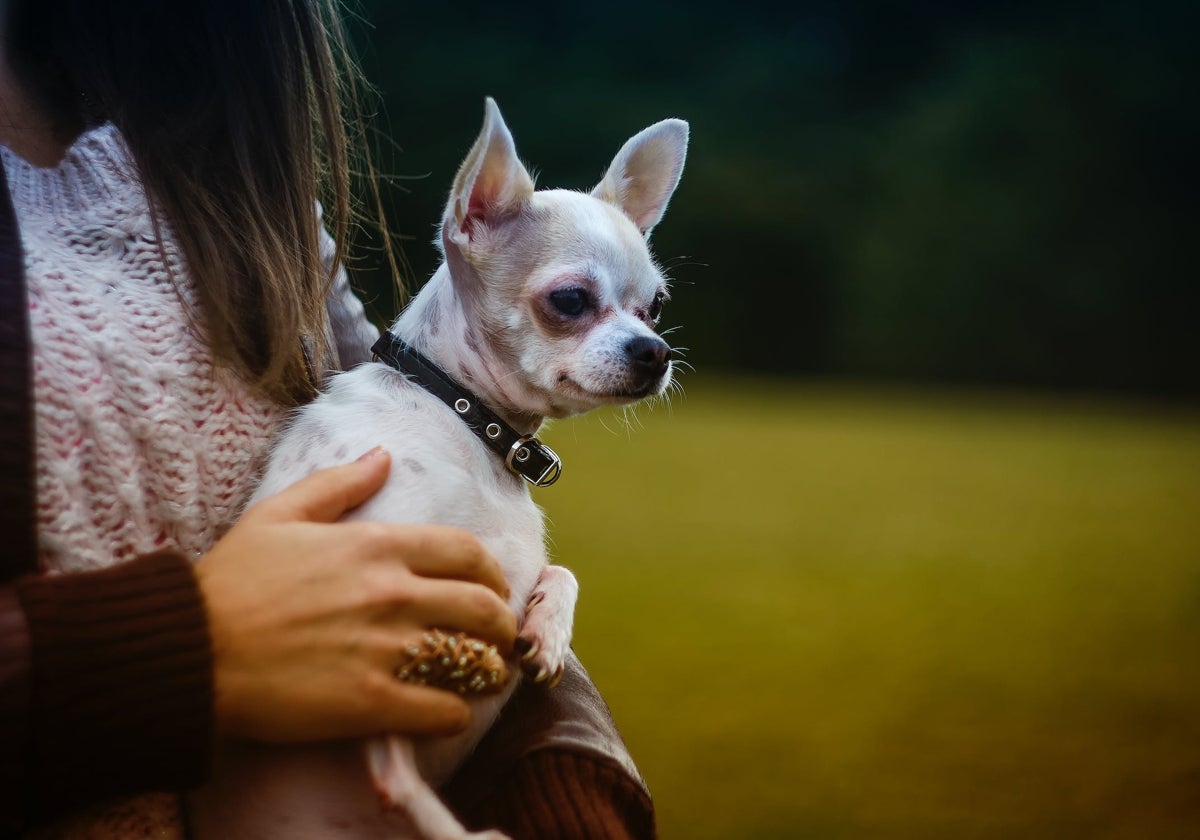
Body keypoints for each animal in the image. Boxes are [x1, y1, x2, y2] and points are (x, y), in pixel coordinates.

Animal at [192, 100, 691, 840]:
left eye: (655, 306)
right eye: (571, 301)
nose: (655, 351)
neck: (464, 419)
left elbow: (561, 572)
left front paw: (547, 629)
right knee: (388, 761)